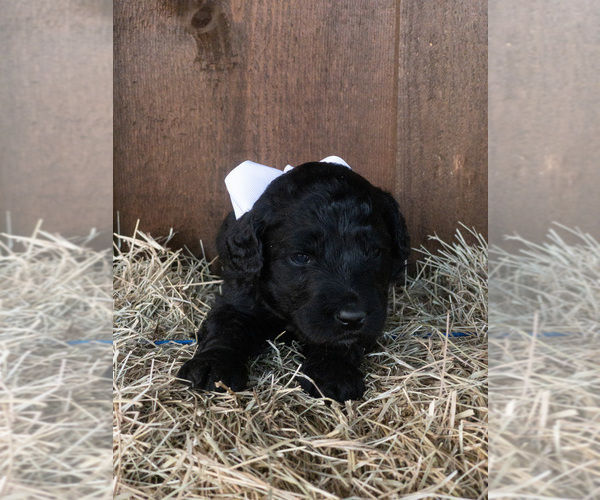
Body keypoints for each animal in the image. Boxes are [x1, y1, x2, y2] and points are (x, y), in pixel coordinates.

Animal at [178, 161, 410, 402]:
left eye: (374, 251)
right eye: (300, 257)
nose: (352, 318)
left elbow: (340, 341)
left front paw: (333, 373)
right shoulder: (238, 296)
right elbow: (225, 327)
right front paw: (212, 365)